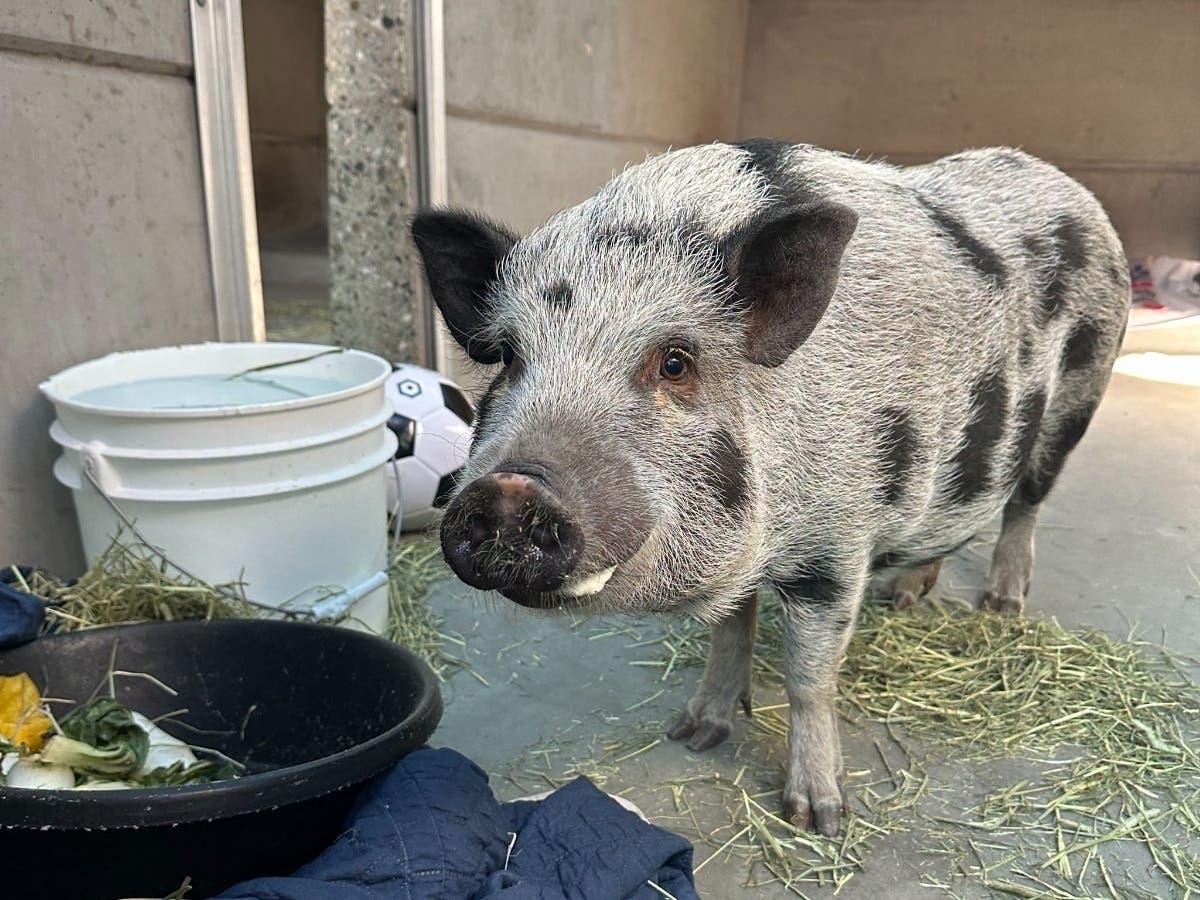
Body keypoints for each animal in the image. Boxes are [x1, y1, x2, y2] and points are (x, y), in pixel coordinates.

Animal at [409, 141, 1131, 836]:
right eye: (508, 357)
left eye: (675, 362)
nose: (510, 488)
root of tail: (1069, 188)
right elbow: (730, 634)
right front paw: (693, 733)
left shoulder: (837, 548)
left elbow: (810, 677)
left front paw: (819, 818)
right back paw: (906, 596)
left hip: (1079, 397)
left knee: (1026, 502)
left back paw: (1002, 606)